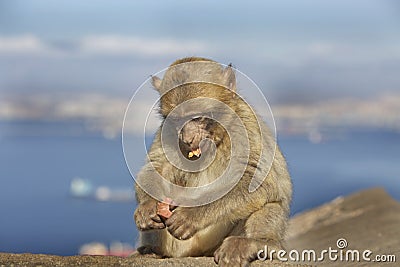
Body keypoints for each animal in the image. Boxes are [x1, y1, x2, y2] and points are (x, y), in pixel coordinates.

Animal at [133, 57, 292, 266]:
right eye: (176, 119)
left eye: (197, 117)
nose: (187, 139)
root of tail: (199, 252)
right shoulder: (166, 131)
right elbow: (157, 167)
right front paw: (148, 206)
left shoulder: (244, 126)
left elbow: (257, 181)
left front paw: (192, 215)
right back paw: (152, 251)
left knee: (270, 203)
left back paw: (255, 245)